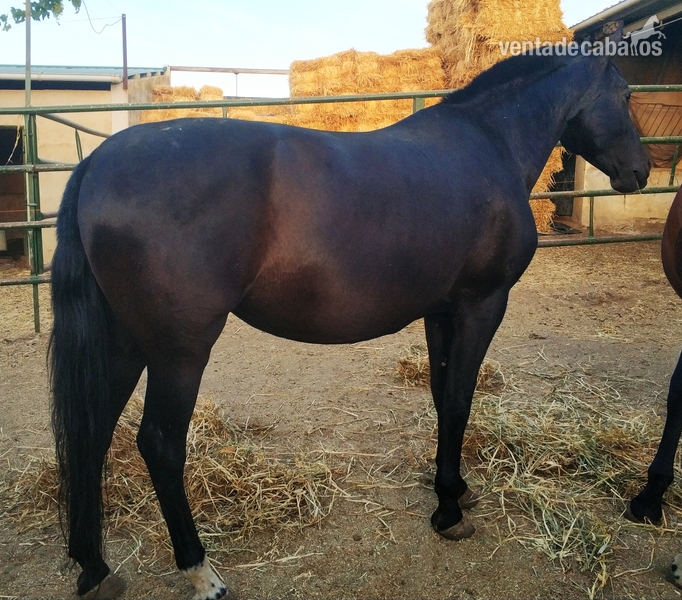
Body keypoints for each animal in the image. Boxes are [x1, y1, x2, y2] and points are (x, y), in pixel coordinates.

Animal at [49, 48, 650, 600]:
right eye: (625, 95)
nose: (640, 171)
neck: (489, 144)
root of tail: (97, 164)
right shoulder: (482, 304)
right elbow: (460, 400)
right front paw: (449, 511)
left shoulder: (442, 310)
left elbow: (441, 397)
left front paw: (453, 490)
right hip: (180, 350)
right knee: (159, 444)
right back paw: (201, 572)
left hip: (127, 344)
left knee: (94, 433)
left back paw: (94, 567)